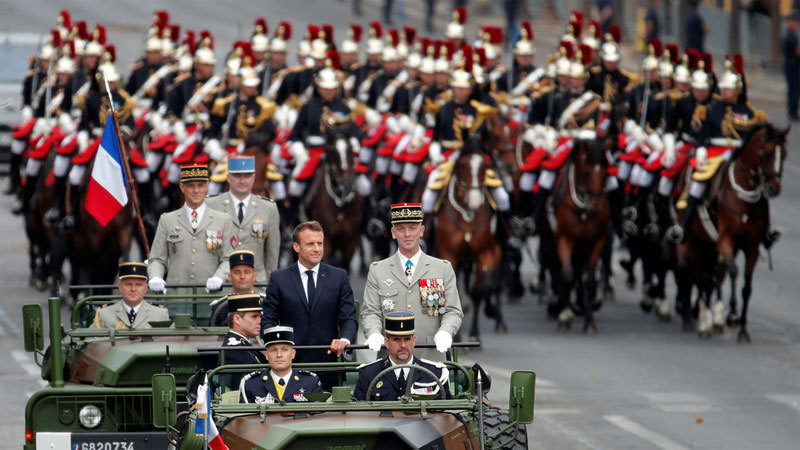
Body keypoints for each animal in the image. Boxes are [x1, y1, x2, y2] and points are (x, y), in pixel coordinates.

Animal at [434, 134, 504, 342]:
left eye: (484, 166)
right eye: (462, 165)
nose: (474, 202)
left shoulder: (485, 252)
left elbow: (482, 289)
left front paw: (474, 334)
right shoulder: (449, 254)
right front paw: (456, 337)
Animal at [552, 139, 612, 332]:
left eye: (606, 172)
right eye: (586, 173)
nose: (596, 208)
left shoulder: (597, 241)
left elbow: (589, 280)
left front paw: (589, 321)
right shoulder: (565, 239)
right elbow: (567, 275)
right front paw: (564, 314)